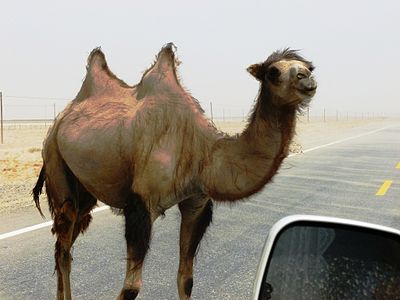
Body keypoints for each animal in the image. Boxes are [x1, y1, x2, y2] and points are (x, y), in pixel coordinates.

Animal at [32, 42, 318, 300]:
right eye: (273, 72)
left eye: (308, 66)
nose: (307, 79)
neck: (203, 150)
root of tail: (60, 119)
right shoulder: (141, 203)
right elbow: (131, 287)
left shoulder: (196, 202)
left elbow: (186, 278)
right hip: (56, 162)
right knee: (63, 249)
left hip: (85, 190)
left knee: (64, 247)